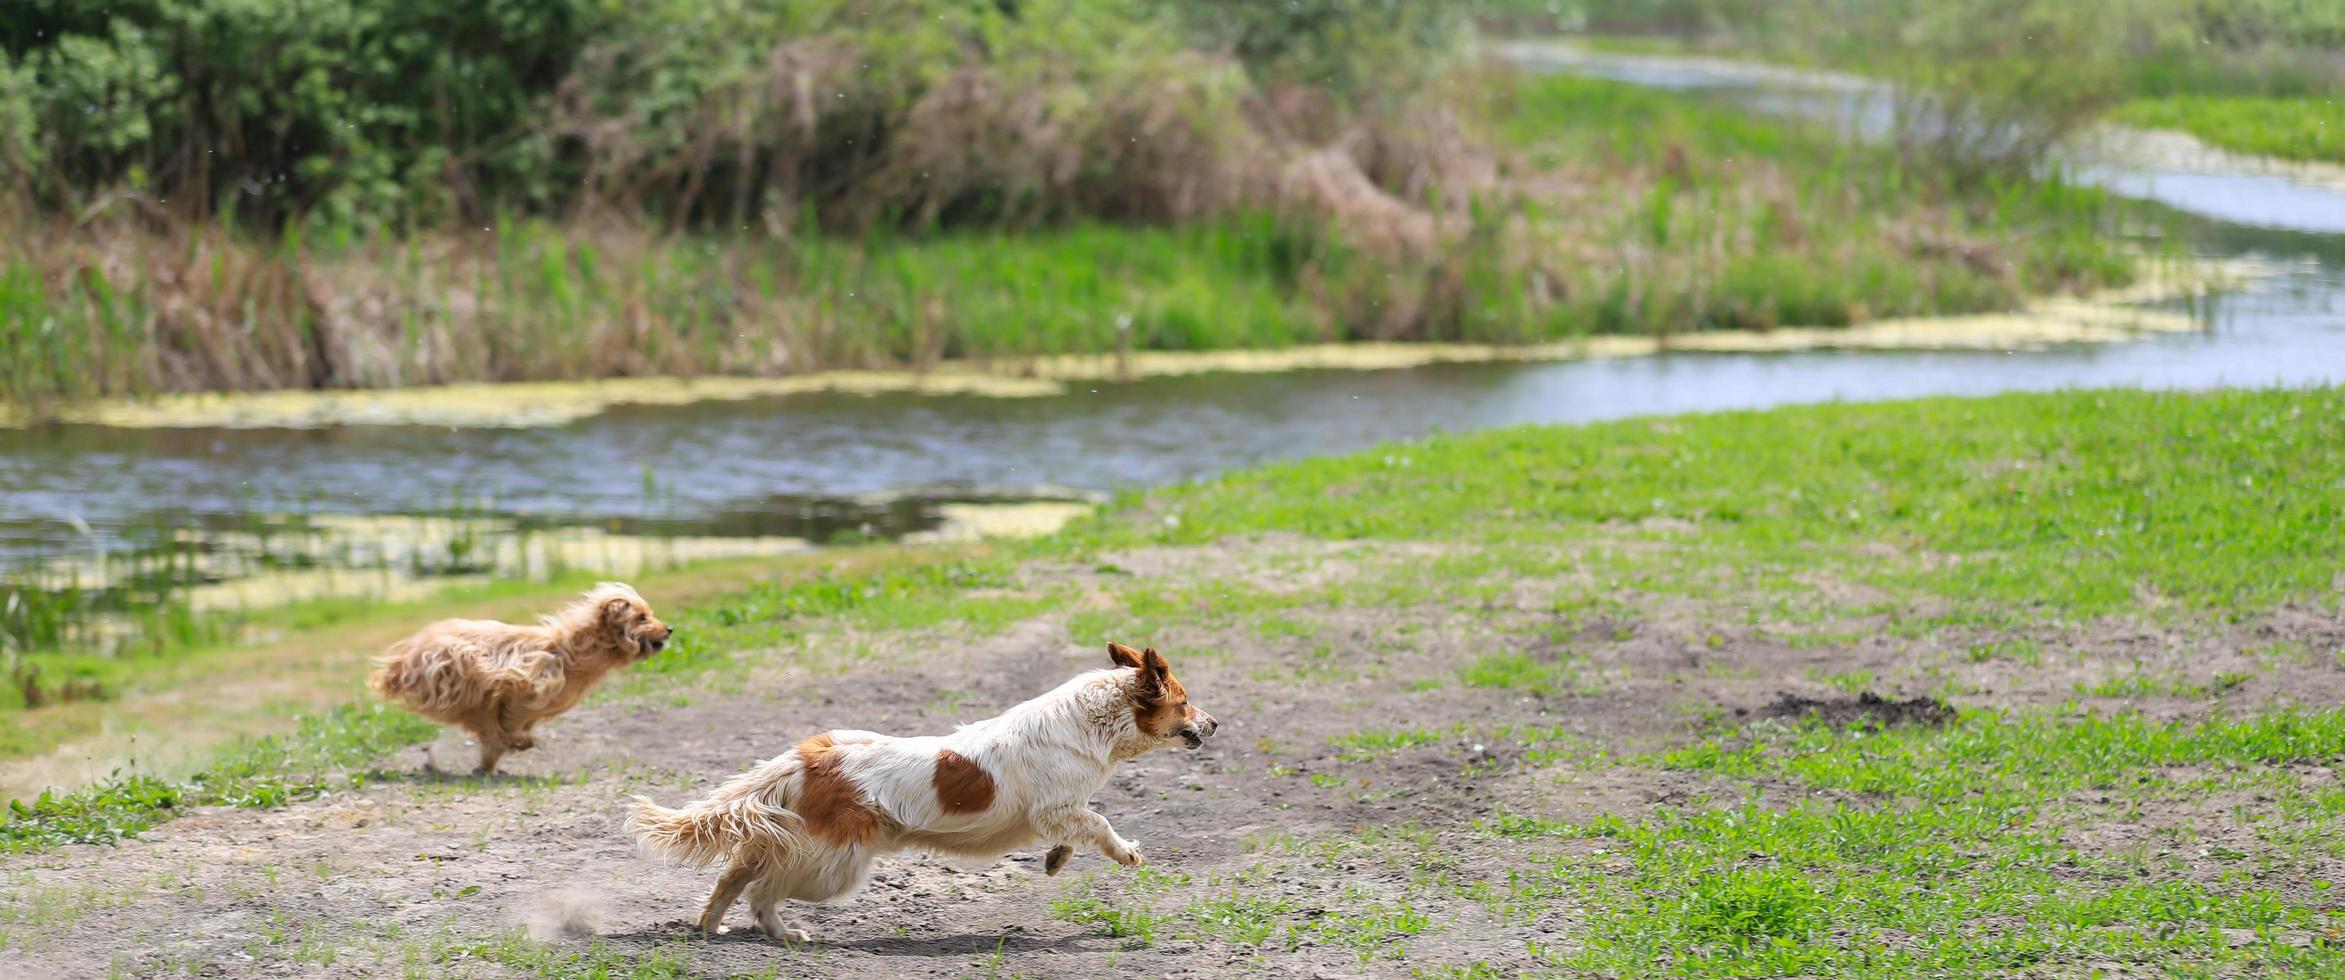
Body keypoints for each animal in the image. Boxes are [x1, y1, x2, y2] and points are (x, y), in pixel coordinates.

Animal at [365, 581, 675, 773]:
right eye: (642, 617)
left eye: (649, 614)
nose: (670, 628)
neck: (571, 651)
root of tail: (402, 660)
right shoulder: (521, 688)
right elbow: (509, 723)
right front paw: (514, 743)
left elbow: (503, 731)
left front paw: (496, 757)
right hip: (458, 664)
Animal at [633, 642, 1219, 942]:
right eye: (1185, 702)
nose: (1214, 723)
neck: (1091, 722)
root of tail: (811, 755)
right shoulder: (1058, 806)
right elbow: (1099, 824)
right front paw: (1126, 852)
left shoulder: (1058, 813)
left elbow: (1076, 833)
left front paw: (1055, 859)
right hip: (833, 863)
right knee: (760, 890)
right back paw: (783, 932)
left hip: (797, 841)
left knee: (734, 873)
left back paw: (710, 925)